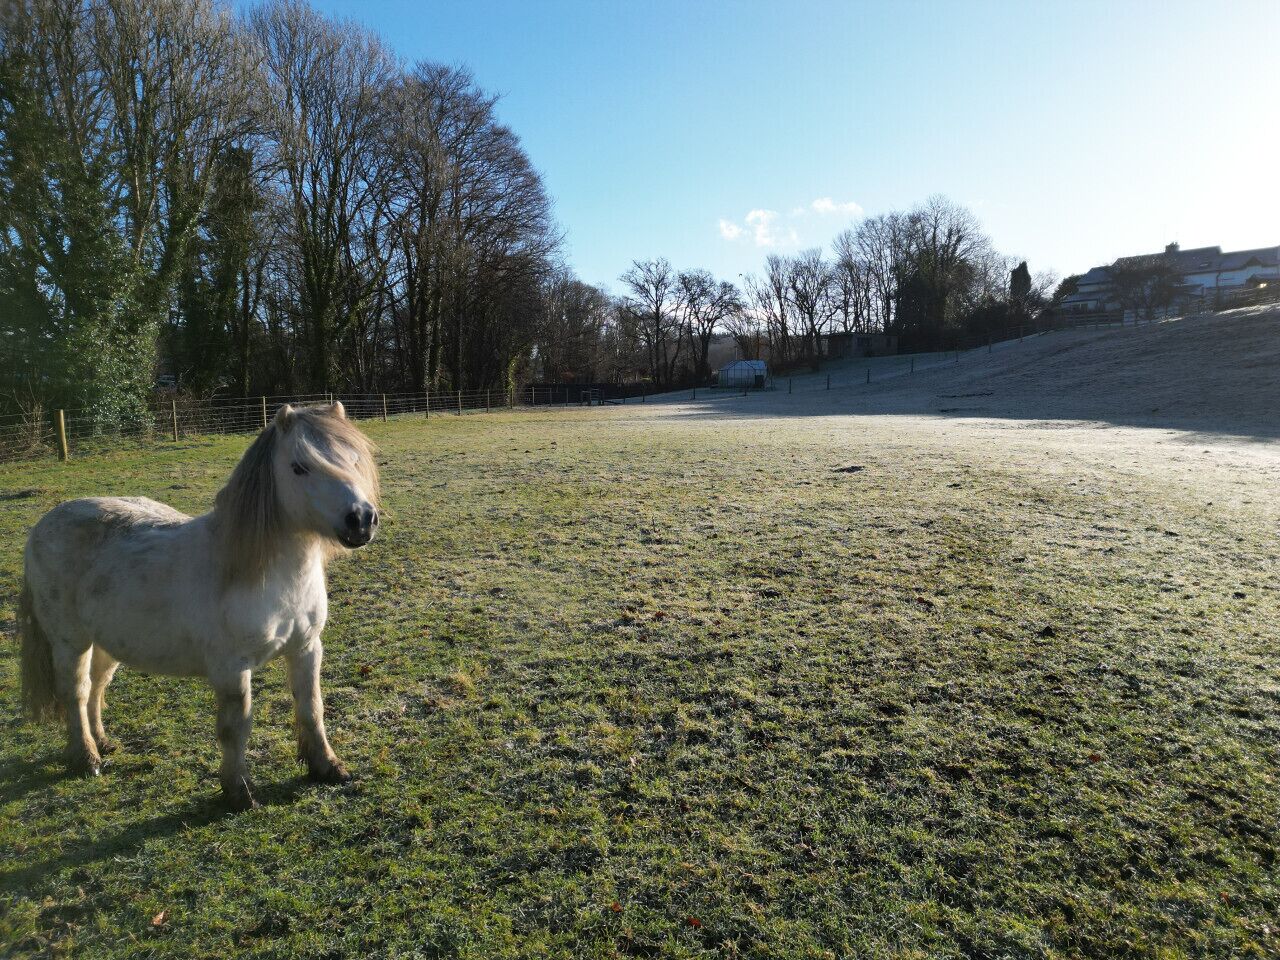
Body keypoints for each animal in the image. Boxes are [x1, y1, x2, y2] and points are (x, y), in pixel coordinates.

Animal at [17, 401, 380, 810]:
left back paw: (104, 743)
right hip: (70, 642)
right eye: (299, 466)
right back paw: (87, 757)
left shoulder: (305, 649)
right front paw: (238, 792)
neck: (258, 574)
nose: (361, 520)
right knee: (75, 692)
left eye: (353, 459)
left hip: (105, 644)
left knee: (96, 687)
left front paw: (327, 767)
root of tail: (45, 523)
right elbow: (236, 727)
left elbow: (311, 709)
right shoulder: (230, 669)